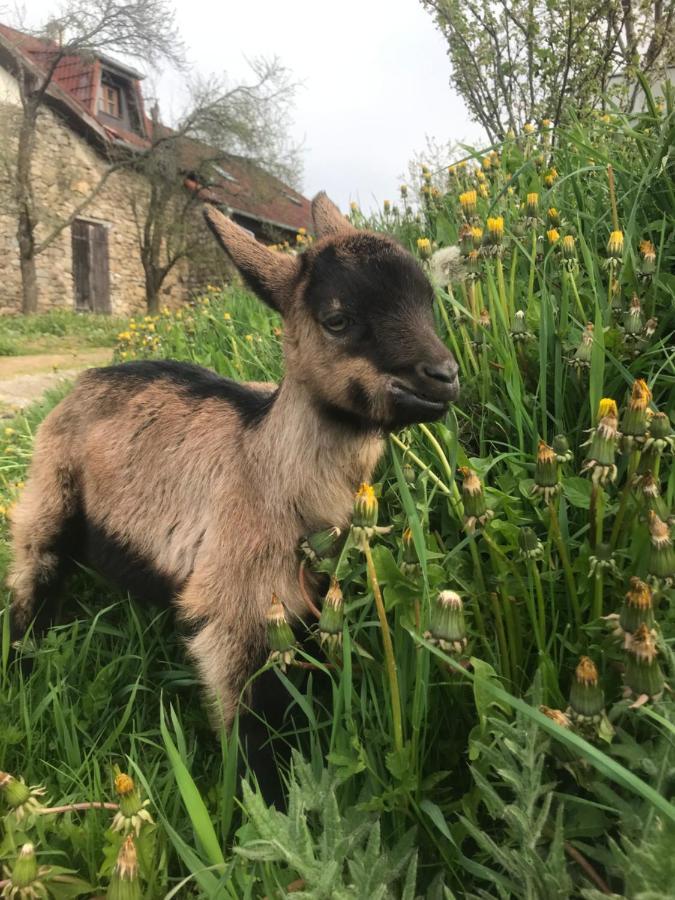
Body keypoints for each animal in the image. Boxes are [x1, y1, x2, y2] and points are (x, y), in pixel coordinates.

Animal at [9, 192, 460, 732]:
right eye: (338, 320)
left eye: (429, 302)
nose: (444, 377)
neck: (265, 460)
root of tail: (88, 377)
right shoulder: (236, 606)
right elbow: (252, 724)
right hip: (48, 492)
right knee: (33, 571)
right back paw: (22, 663)